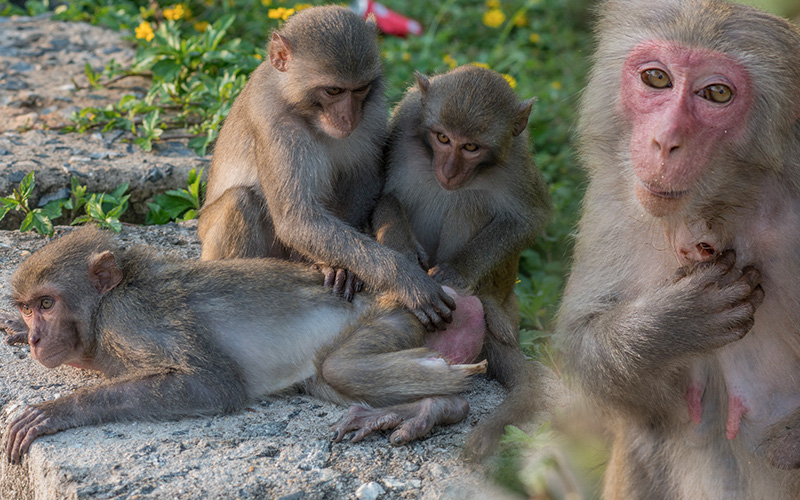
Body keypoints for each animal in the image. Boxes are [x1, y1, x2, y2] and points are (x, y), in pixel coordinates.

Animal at [196, 5, 454, 332]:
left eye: (360, 89)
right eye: (333, 90)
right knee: (240, 200)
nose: (348, 117)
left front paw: (347, 268)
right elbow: (297, 219)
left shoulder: (373, 110)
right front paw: (406, 279)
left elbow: (364, 182)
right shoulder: (274, 122)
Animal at [370, 64, 552, 458]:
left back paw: (483, 305)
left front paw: (455, 272)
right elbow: (385, 195)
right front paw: (406, 266)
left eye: (471, 147)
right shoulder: (406, 118)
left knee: (470, 203)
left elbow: (529, 218)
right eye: (442, 137)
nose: (450, 171)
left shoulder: (518, 159)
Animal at [560, 1, 800, 498]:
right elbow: (579, 341)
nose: (665, 141)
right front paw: (675, 323)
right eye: (657, 78)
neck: (721, 205)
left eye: (717, 93)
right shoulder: (613, 197)